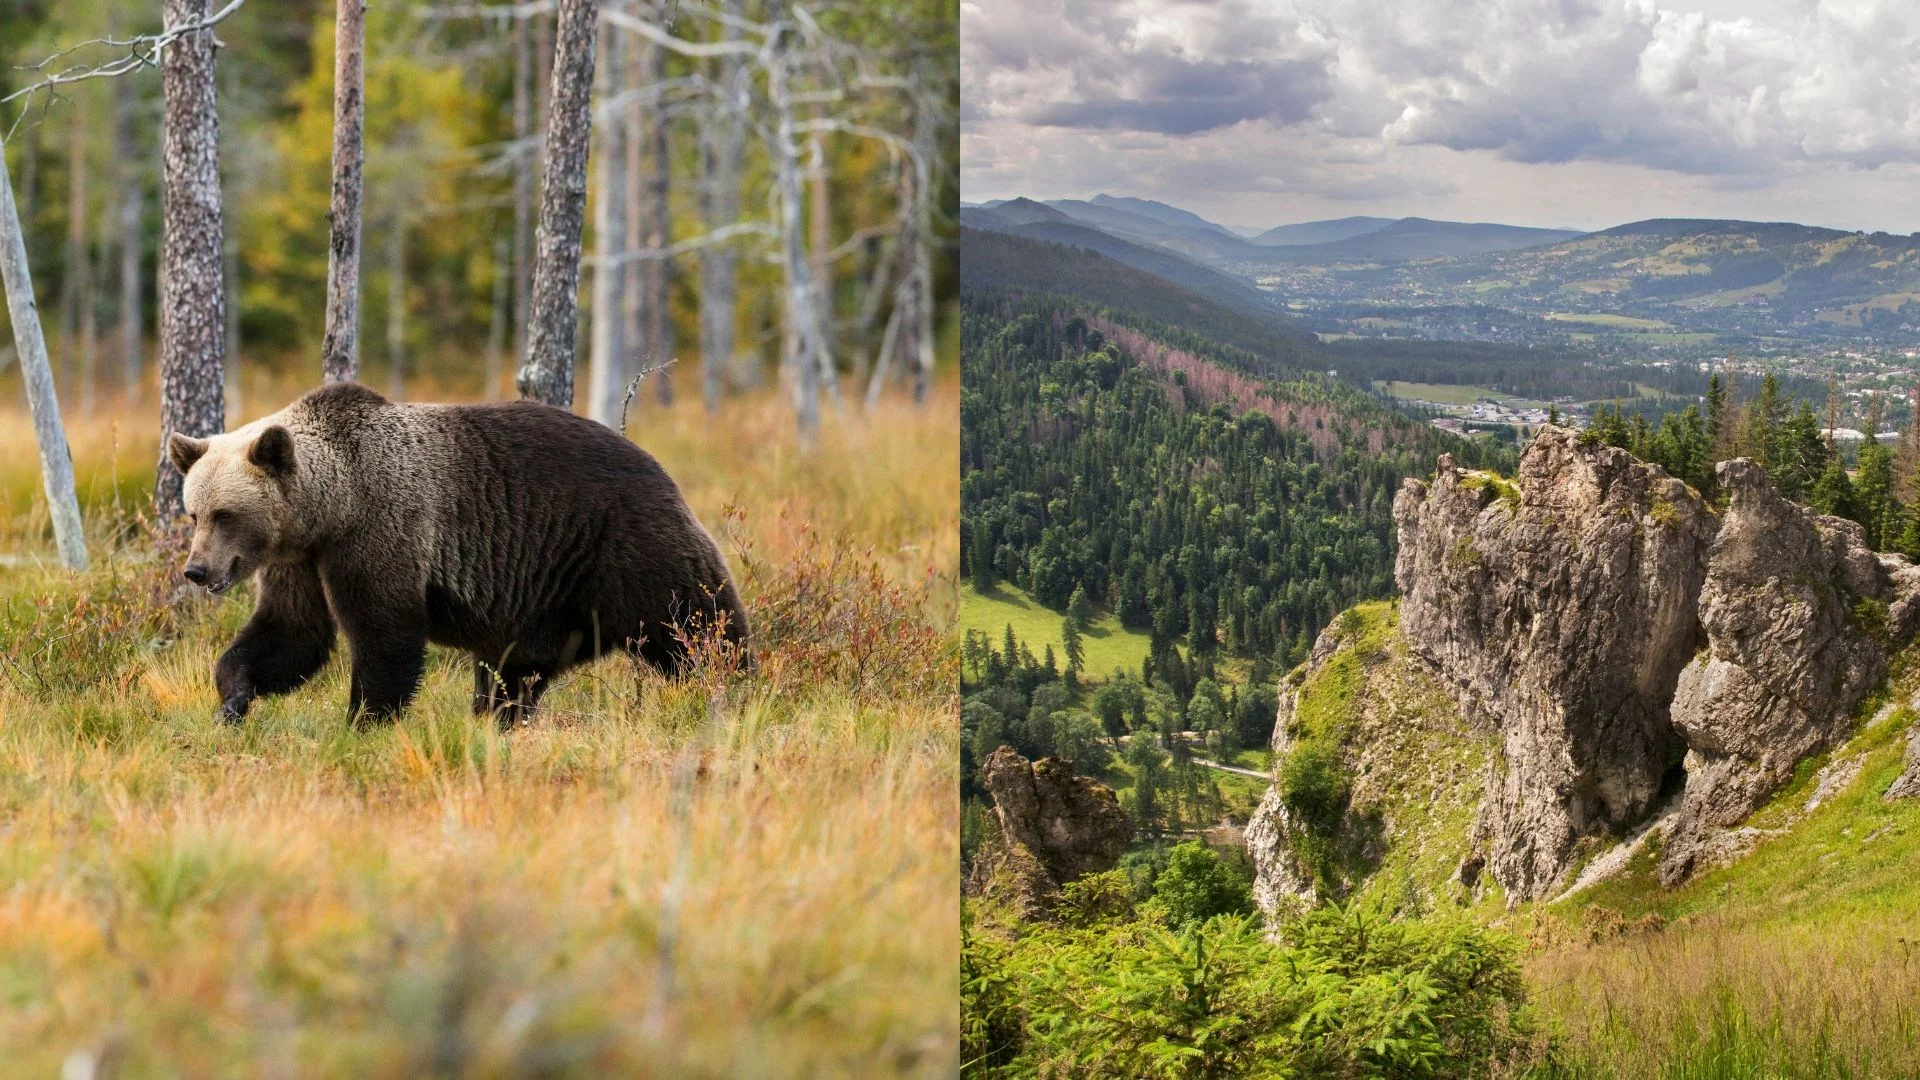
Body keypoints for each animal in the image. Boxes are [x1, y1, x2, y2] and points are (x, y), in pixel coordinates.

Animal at [167, 378, 748, 722]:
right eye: (194, 512)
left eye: (225, 514)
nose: (196, 569)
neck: (331, 507)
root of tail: (659, 466)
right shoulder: (300, 561)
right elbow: (292, 632)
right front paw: (233, 698)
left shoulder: (381, 530)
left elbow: (385, 633)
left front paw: (364, 720)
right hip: (545, 603)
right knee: (515, 672)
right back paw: (498, 718)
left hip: (624, 546)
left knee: (695, 622)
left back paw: (737, 685)